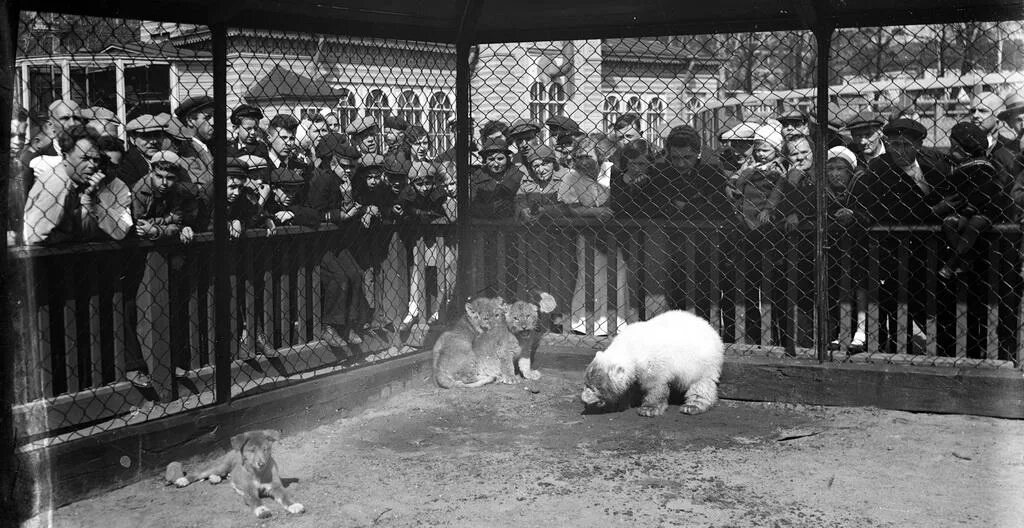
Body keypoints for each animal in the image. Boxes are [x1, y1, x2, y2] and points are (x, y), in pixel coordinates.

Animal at [171, 431, 303, 517]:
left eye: (265, 449)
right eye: (252, 450)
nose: (261, 463)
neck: (258, 473)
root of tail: (233, 450)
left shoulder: (275, 486)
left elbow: (285, 496)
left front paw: (294, 505)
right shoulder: (249, 491)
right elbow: (255, 500)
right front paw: (262, 509)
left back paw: (215, 479)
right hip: (221, 466)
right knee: (201, 472)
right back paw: (183, 480)